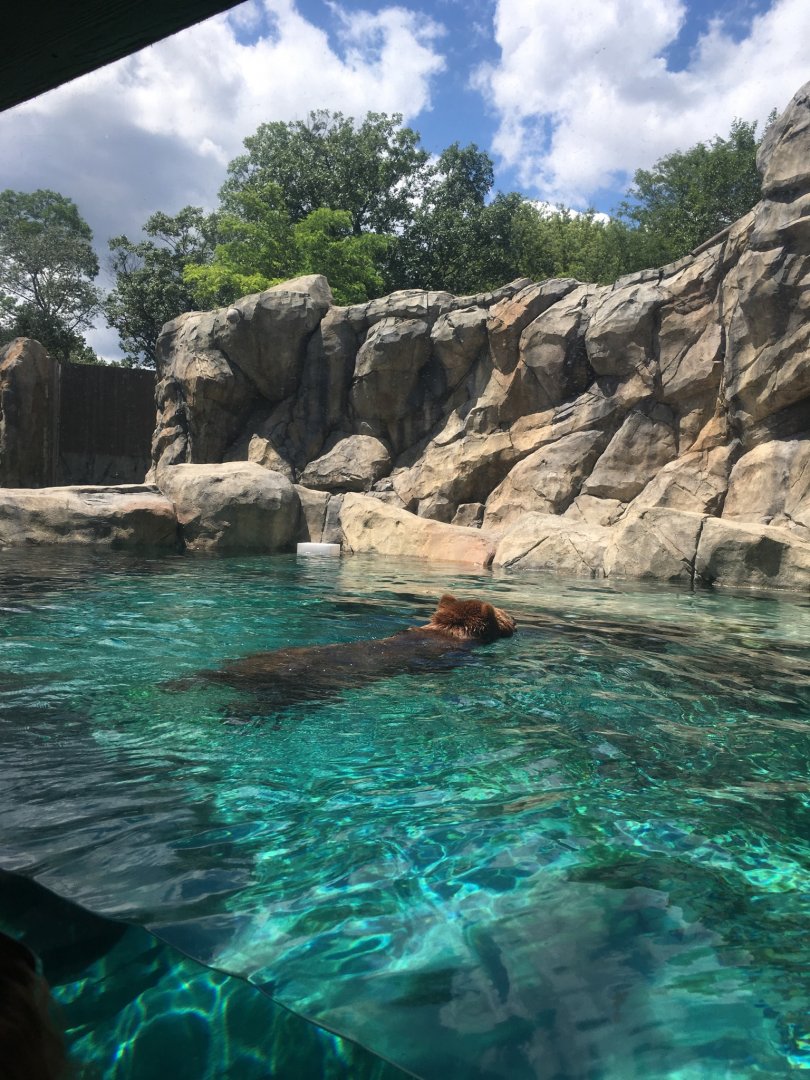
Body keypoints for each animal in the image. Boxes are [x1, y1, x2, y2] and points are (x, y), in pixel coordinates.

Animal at [176, 594, 516, 711]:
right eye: (505, 615)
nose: (514, 619)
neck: (444, 632)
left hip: (253, 660)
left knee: (208, 673)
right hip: (301, 687)